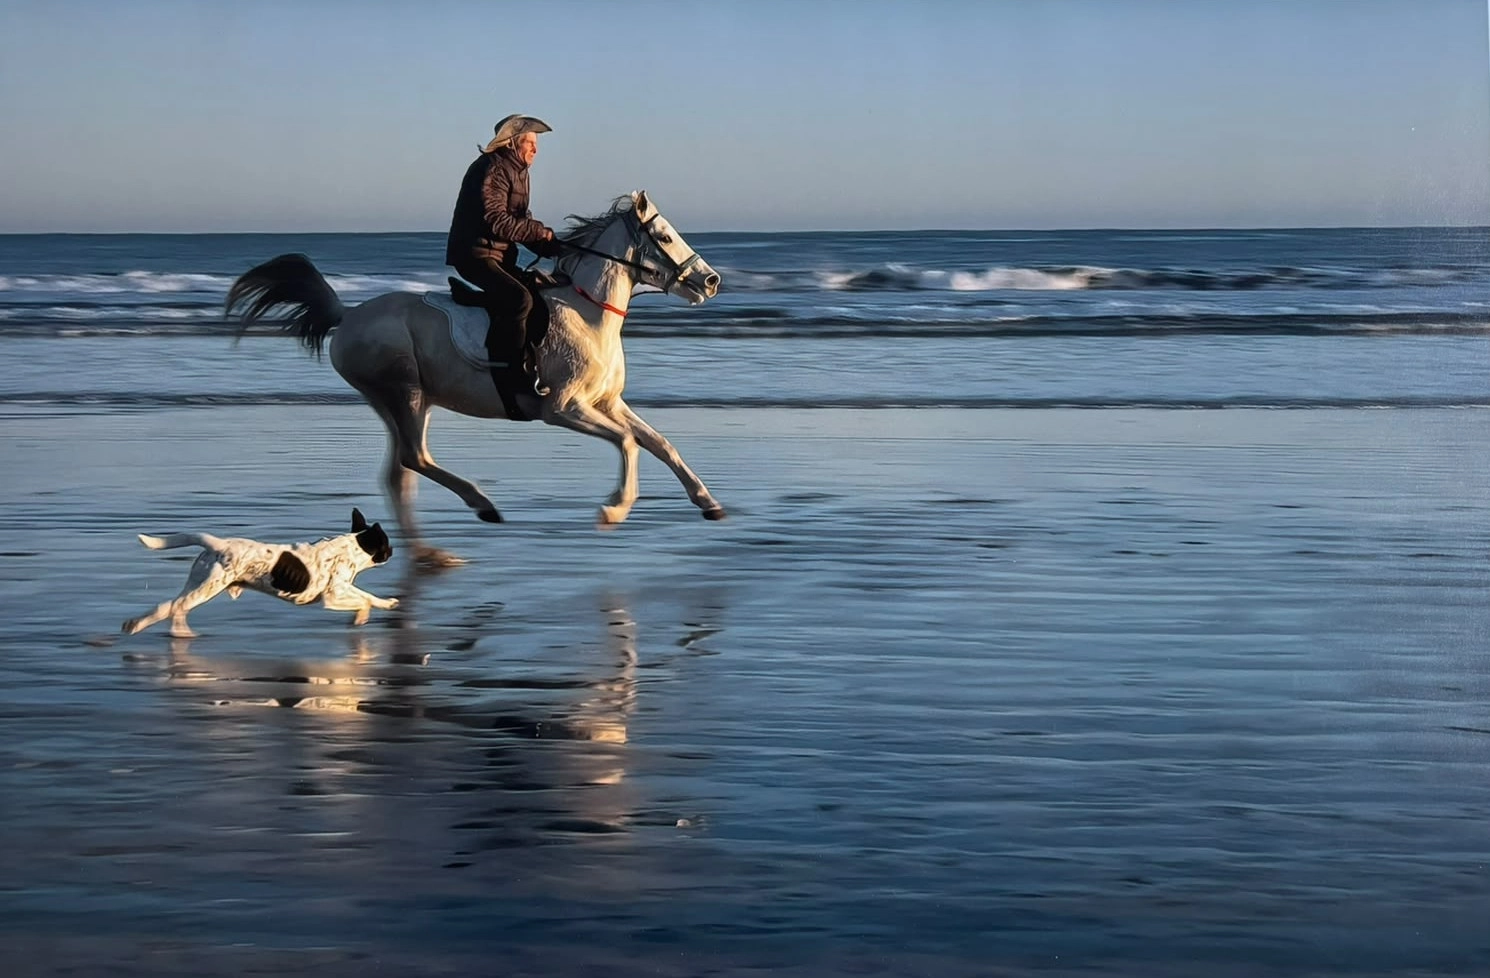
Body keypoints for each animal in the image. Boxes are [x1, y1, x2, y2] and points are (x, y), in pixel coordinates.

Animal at [226, 190, 724, 569]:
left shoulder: (606, 404)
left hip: (405, 402)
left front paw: (708, 502)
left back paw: (430, 554)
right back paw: (481, 506)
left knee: (399, 473)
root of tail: (347, 316)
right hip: (404, 393)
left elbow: (659, 443)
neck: (588, 314)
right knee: (414, 459)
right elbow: (628, 443)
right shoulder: (564, 410)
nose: (711, 280)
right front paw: (614, 510)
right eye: (664, 236)